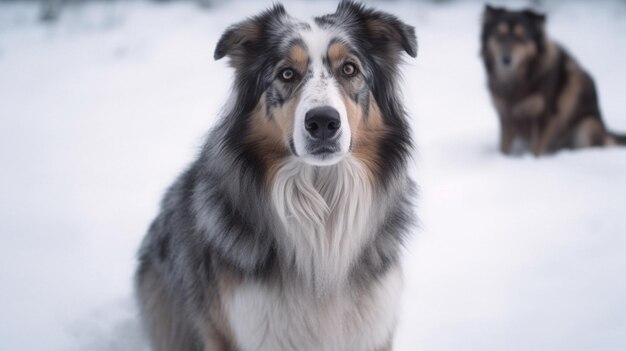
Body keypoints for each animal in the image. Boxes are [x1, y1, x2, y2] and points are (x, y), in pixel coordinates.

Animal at [480, 5, 620, 157]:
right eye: (499, 35)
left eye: (521, 37)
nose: (506, 59)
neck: (517, 81)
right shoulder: (505, 115)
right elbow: (504, 147)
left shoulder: (545, 113)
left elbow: (536, 149)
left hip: (587, 125)